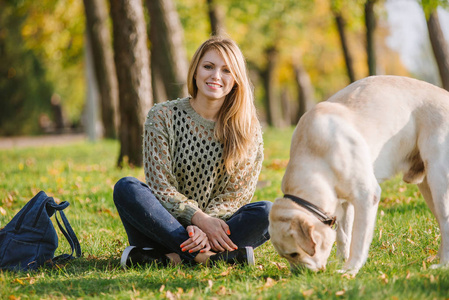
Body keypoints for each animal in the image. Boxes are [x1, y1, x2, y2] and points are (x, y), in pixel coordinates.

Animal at [268, 75, 448, 274]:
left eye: (294, 254)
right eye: (286, 257)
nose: (298, 274)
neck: (315, 156)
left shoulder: (366, 196)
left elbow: (358, 239)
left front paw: (350, 269)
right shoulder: (345, 203)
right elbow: (343, 236)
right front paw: (342, 260)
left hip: (438, 181)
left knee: (445, 222)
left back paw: (442, 264)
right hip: (427, 187)